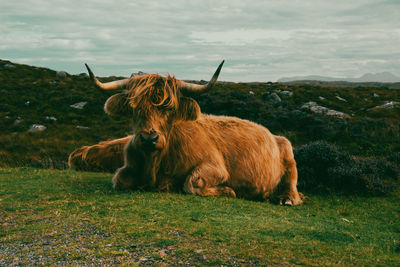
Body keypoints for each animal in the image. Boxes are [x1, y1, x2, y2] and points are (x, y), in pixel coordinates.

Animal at [69, 61, 304, 206]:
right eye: (134, 107)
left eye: (169, 108)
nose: (149, 138)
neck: (155, 164)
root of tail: (275, 135)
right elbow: (119, 179)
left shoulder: (215, 166)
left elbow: (192, 183)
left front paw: (229, 191)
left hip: (290, 159)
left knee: (291, 184)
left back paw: (287, 198)